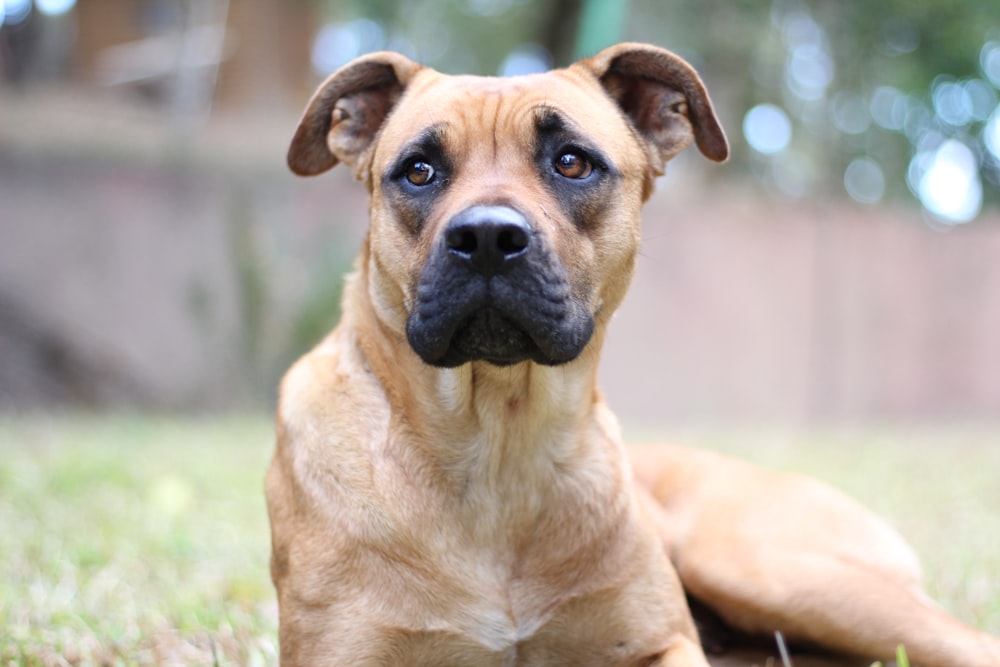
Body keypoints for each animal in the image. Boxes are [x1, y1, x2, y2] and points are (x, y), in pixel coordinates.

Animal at [266, 43, 1000, 667]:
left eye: (571, 161)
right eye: (418, 171)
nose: (486, 237)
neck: (499, 447)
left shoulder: (662, 643)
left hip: (767, 565)